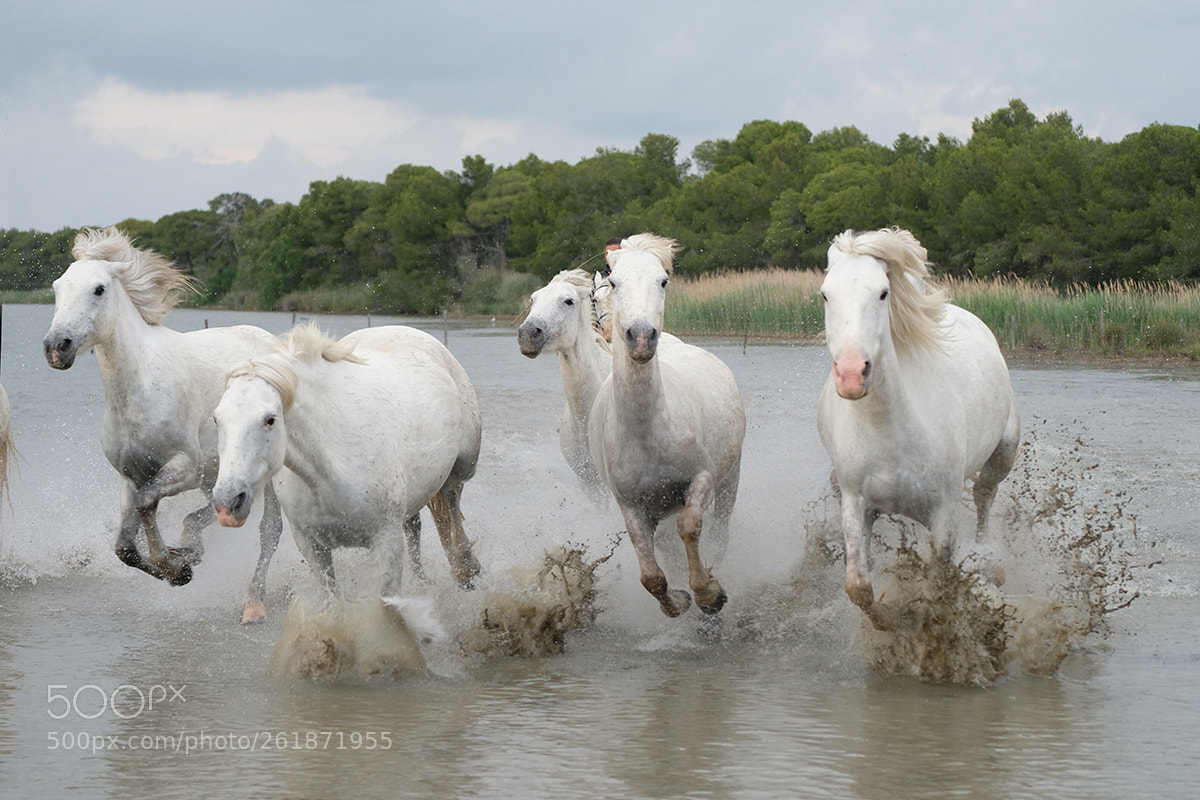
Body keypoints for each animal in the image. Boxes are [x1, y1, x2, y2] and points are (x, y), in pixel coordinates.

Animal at [41, 227, 284, 623]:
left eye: (99, 289)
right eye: (57, 287)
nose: (56, 347)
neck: (138, 388)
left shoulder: (185, 466)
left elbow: (147, 503)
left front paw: (175, 567)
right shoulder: (131, 475)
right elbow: (124, 545)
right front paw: (181, 564)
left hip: (266, 474)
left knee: (270, 530)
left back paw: (253, 604)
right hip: (219, 474)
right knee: (216, 510)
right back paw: (191, 546)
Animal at [210, 324, 482, 604]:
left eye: (270, 419)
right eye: (217, 419)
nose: (227, 502)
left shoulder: (387, 540)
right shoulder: (311, 545)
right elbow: (335, 600)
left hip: (462, 467)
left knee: (451, 500)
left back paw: (465, 570)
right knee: (414, 526)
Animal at [589, 233, 746, 618]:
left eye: (663, 281)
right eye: (613, 283)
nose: (642, 337)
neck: (647, 431)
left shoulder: (701, 477)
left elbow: (689, 526)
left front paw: (709, 594)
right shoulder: (632, 506)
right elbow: (651, 576)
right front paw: (678, 601)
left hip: (731, 476)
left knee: (719, 533)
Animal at [816, 227, 1020, 631]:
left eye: (883, 292)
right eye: (826, 294)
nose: (851, 375)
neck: (893, 434)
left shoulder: (943, 513)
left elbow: (939, 583)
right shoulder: (856, 504)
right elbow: (858, 586)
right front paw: (892, 620)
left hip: (1004, 452)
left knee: (985, 495)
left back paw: (990, 561)